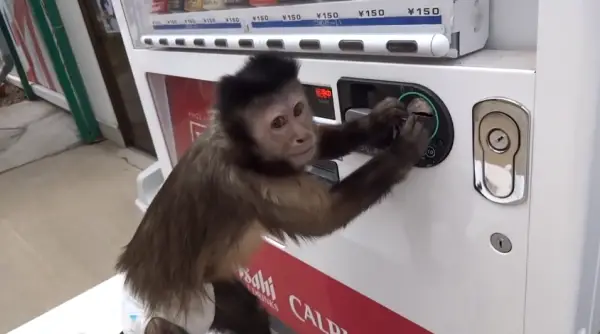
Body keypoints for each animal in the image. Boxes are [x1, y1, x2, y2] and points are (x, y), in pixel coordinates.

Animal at [116, 52, 436, 334]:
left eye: (298, 110)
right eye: (278, 123)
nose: (301, 136)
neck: (244, 153)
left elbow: (319, 147)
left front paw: (376, 122)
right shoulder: (251, 185)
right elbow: (326, 216)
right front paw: (403, 151)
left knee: (247, 311)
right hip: (171, 314)